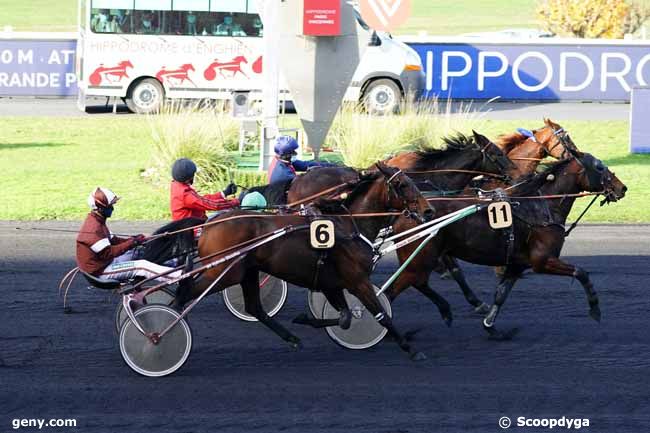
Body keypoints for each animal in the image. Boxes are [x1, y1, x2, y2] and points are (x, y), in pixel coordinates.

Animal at [175, 162, 432, 358]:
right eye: (402, 185)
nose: (428, 210)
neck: (349, 226)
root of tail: (209, 224)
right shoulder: (358, 281)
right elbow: (380, 315)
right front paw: (410, 348)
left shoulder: (332, 283)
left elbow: (345, 317)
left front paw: (304, 319)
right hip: (225, 272)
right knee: (184, 294)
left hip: (247, 271)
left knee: (254, 307)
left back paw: (292, 337)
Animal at [388, 150, 624, 340]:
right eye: (600, 166)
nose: (622, 188)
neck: (543, 208)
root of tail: (406, 213)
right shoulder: (542, 261)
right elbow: (581, 272)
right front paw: (595, 309)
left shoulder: (517, 264)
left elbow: (501, 294)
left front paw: (491, 327)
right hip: (419, 259)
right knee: (394, 290)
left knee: (417, 282)